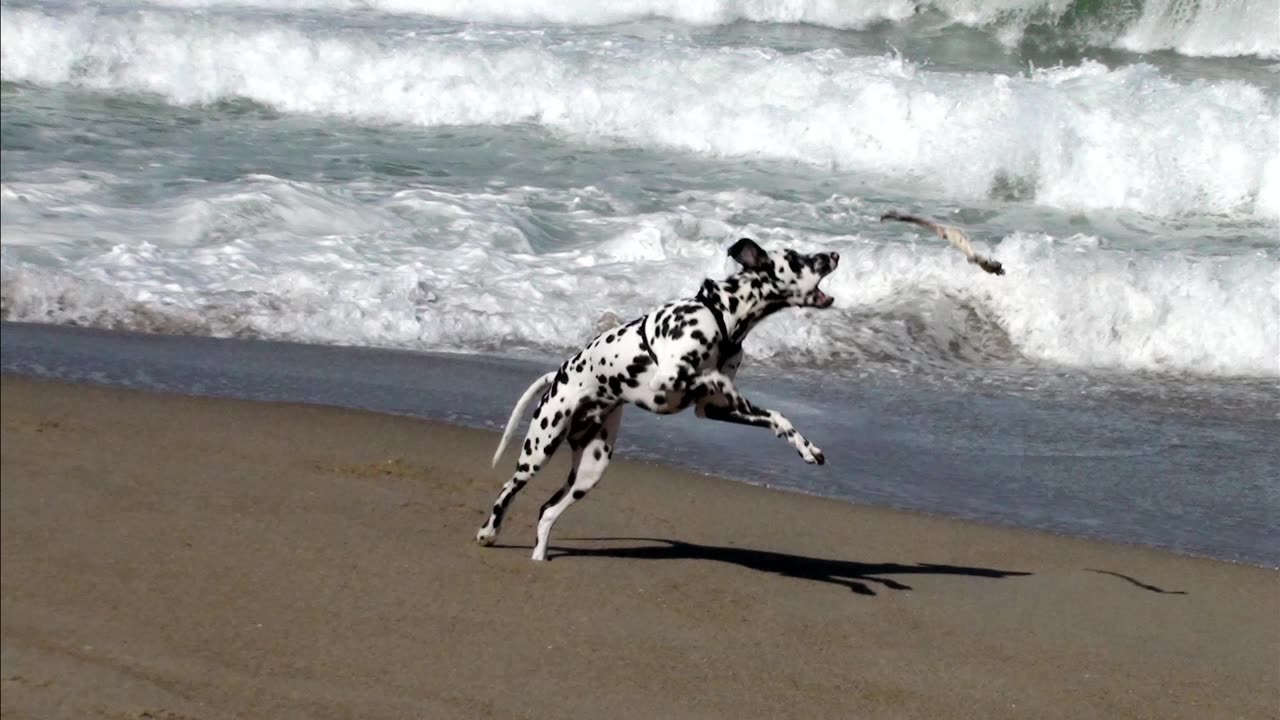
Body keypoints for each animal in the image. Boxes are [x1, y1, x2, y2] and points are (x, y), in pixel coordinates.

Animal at [476, 238, 834, 558]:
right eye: (797, 259)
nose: (835, 255)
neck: (724, 316)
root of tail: (557, 375)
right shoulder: (668, 379)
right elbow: (713, 376)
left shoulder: (713, 410)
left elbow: (775, 416)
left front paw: (806, 448)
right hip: (539, 451)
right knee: (509, 488)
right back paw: (488, 532)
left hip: (590, 470)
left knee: (547, 511)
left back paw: (539, 557)